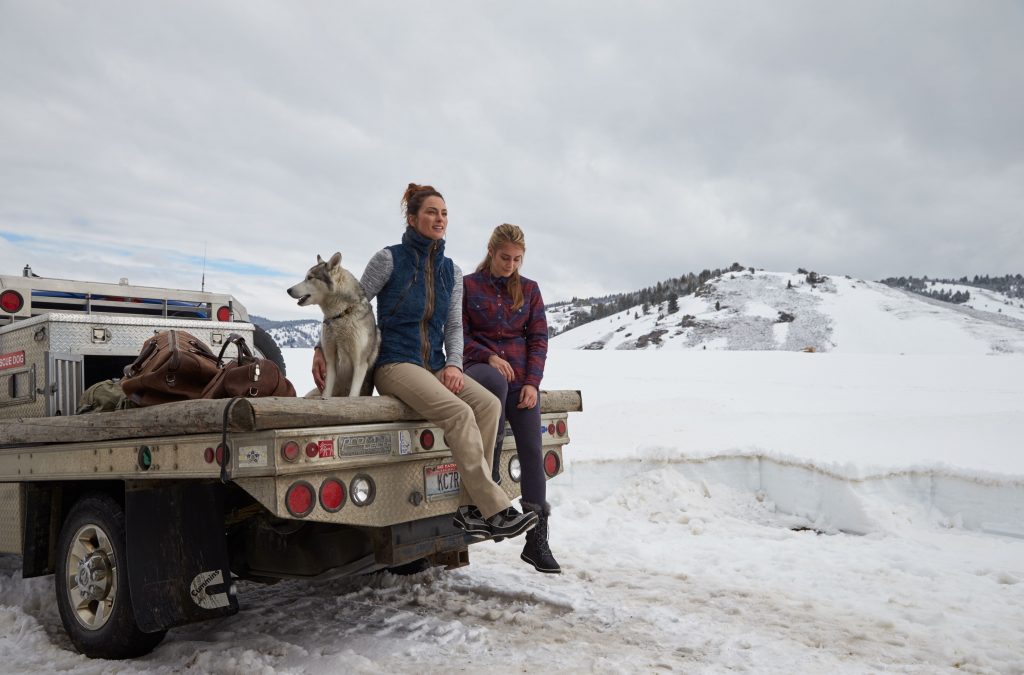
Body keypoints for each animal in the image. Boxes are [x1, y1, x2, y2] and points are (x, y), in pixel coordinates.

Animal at [288, 255, 380, 401]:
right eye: (305, 277)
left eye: (310, 277)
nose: (288, 290)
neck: (340, 315)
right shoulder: (330, 362)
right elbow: (326, 394)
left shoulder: (360, 364)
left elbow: (353, 395)